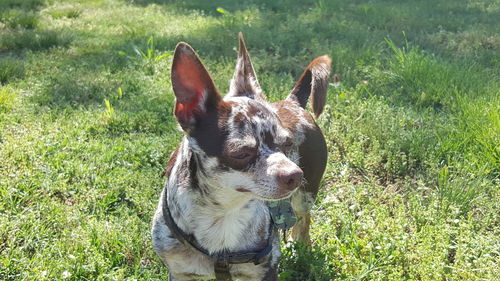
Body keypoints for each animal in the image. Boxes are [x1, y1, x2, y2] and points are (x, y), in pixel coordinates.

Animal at [152, 33, 332, 280]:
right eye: (241, 154)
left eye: (287, 144)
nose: (295, 174)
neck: (223, 212)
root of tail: (292, 101)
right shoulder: (180, 273)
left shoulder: (265, 270)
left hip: (304, 196)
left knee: (304, 219)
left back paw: (301, 247)